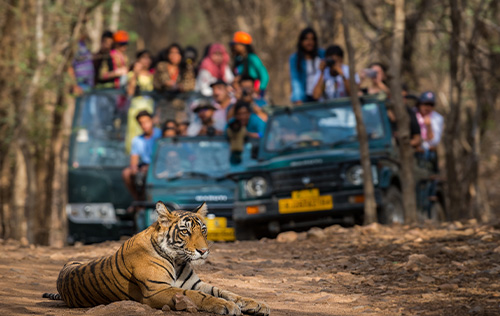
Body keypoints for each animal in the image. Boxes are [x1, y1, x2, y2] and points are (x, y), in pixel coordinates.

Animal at [43, 202, 270, 316]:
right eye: (186, 232)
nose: (204, 251)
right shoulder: (157, 290)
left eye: (203, 230)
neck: (178, 260)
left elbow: (226, 291)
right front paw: (227, 306)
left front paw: (257, 304)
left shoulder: (195, 283)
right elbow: (200, 297)